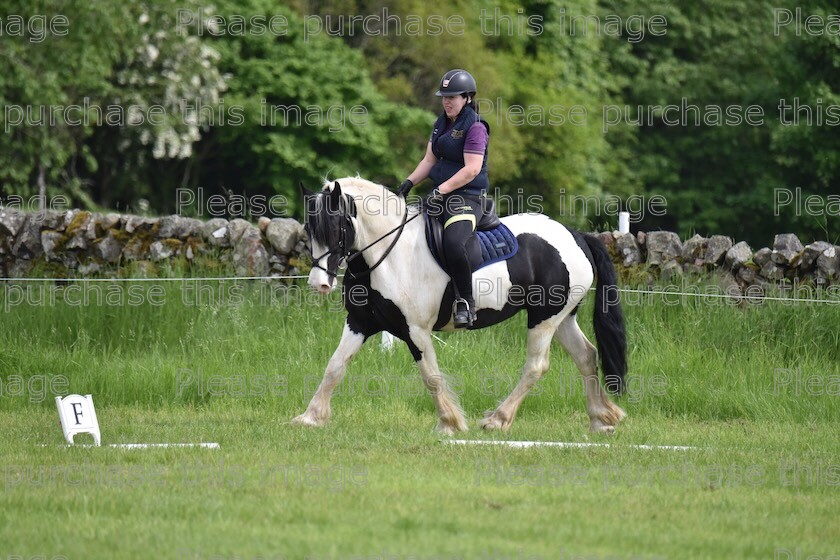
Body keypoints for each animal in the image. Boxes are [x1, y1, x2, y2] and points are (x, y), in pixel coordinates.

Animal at [292, 177, 628, 436]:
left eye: (336, 227)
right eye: (310, 229)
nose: (319, 284)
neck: (387, 255)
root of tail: (576, 236)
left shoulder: (415, 330)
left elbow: (430, 375)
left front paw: (449, 423)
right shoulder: (360, 322)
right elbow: (335, 366)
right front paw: (311, 417)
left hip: (544, 318)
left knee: (537, 365)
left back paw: (498, 420)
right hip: (562, 317)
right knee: (586, 356)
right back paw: (602, 419)